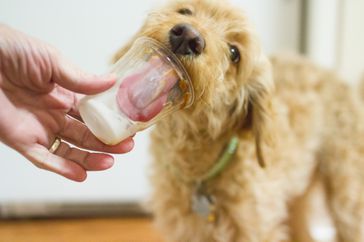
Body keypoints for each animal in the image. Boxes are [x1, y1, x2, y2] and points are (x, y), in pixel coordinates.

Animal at [113, 0, 364, 242]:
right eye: (185, 11)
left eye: (234, 53)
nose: (188, 37)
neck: (198, 171)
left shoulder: (256, 227)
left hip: (347, 197)